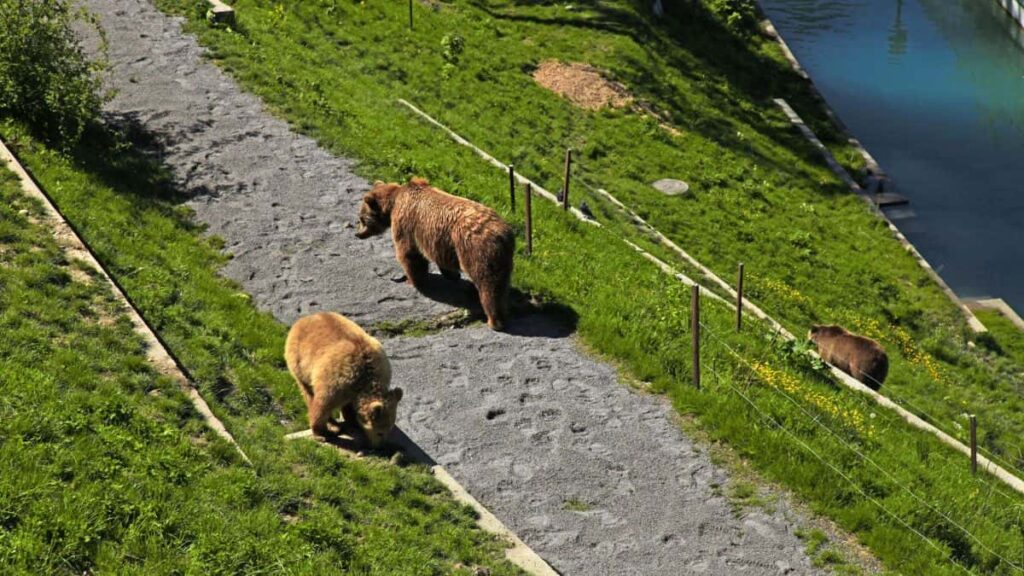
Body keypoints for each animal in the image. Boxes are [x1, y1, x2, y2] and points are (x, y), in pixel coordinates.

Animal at [288, 311, 403, 446]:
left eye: (389, 429)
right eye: (380, 432)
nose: (380, 446)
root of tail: (305, 318)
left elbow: (349, 406)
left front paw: (352, 421)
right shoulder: (335, 382)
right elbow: (322, 406)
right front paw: (321, 433)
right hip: (300, 364)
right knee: (308, 393)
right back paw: (332, 424)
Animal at [356, 177, 516, 330]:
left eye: (362, 218)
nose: (358, 234)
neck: (393, 202)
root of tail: (501, 234)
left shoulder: (406, 224)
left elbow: (409, 254)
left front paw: (413, 280)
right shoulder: (441, 242)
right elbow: (440, 259)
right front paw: (452, 275)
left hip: (476, 250)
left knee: (487, 284)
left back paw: (494, 321)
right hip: (503, 258)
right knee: (501, 284)